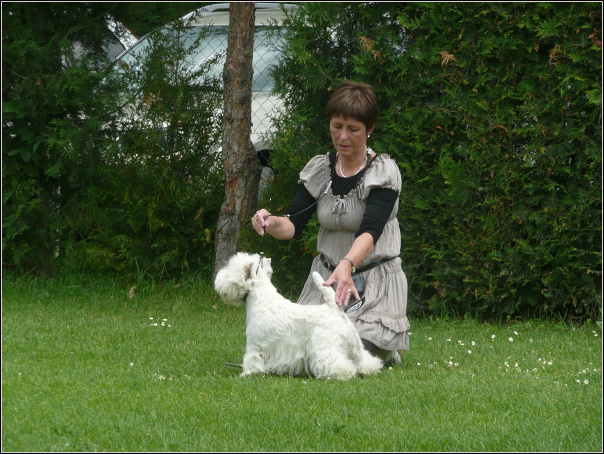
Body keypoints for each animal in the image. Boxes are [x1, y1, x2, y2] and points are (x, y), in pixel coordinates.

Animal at [214, 252, 382, 380]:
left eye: (228, 270)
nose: (218, 278)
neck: (260, 297)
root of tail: (335, 308)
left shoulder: (255, 344)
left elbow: (252, 360)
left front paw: (248, 373)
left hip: (326, 346)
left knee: (337, 363)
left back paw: (341, 374)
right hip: (355, 344)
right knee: (364, 359)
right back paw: (370, 369)